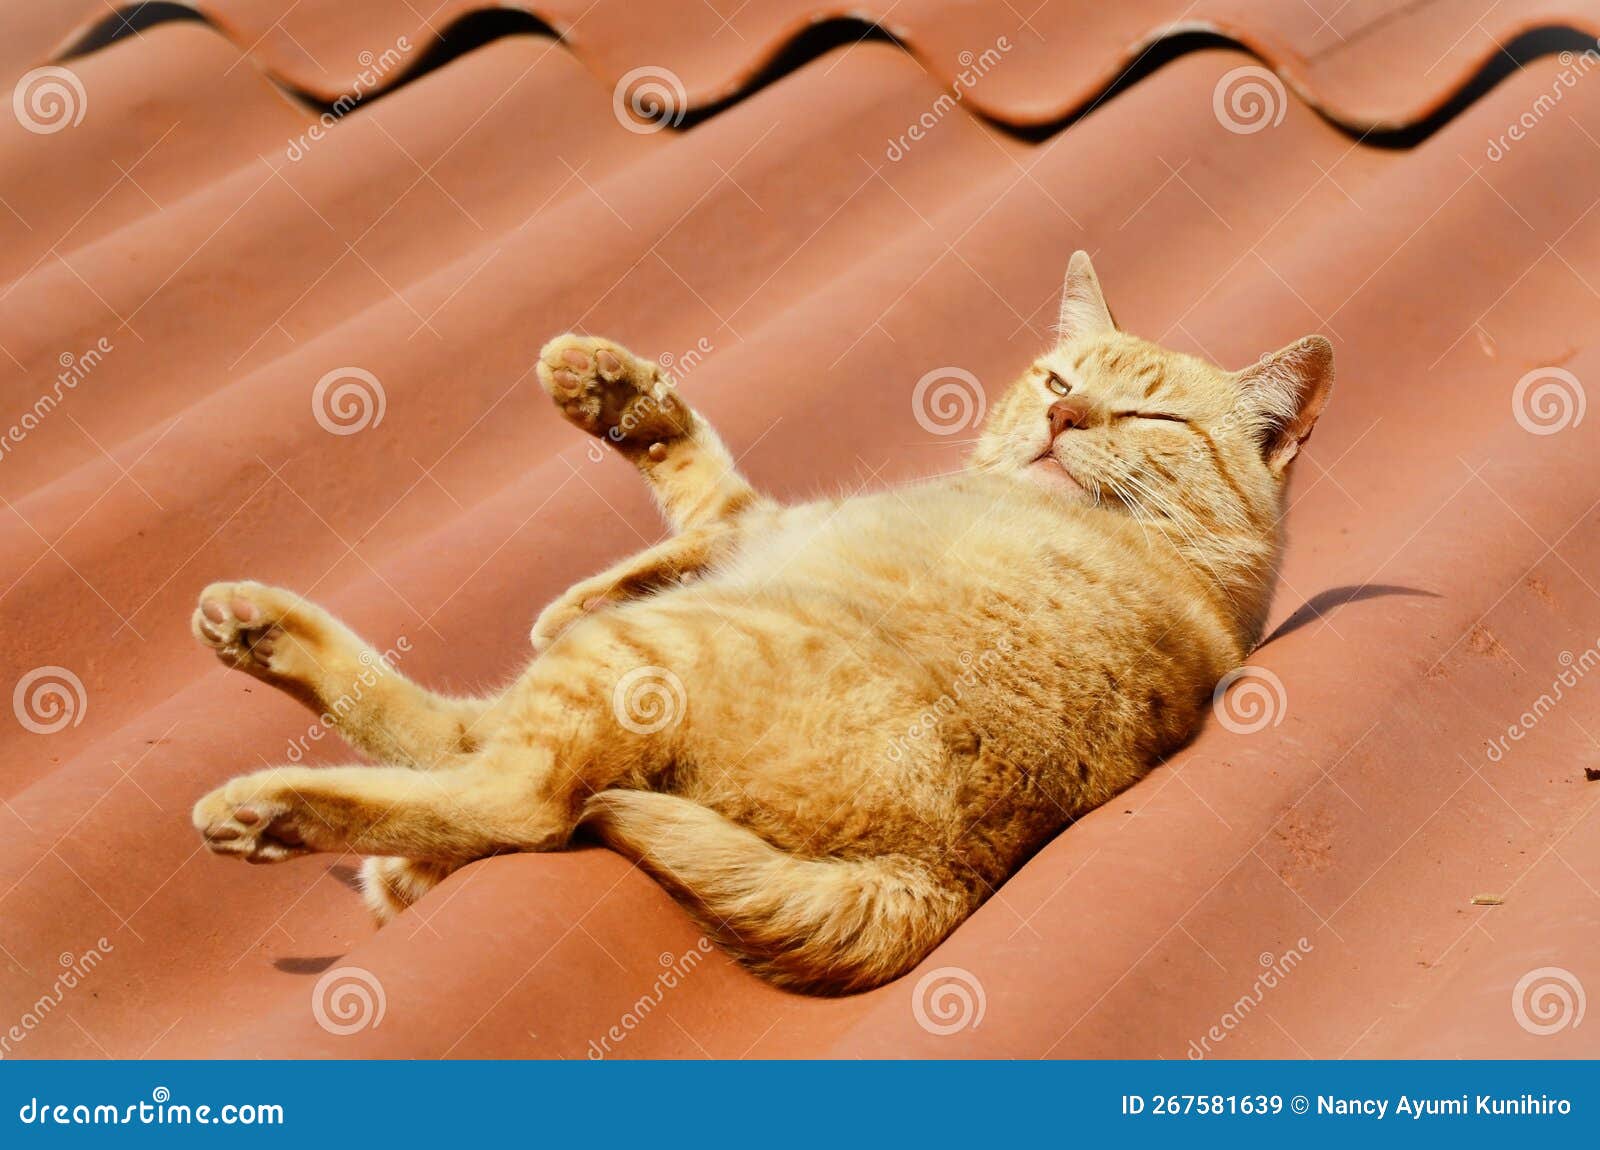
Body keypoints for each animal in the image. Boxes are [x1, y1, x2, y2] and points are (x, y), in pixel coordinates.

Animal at [193, 255, 1331, 991]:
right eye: (1058, 379)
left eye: (1151, 416)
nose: (1062, 416)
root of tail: (941, 872)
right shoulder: (755, 530)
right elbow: (687, 493)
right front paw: (611, 395)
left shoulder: (755, 542)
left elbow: (698, 490)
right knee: (467, 745)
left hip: (647, 658)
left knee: (513, 797)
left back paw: (268, 793)